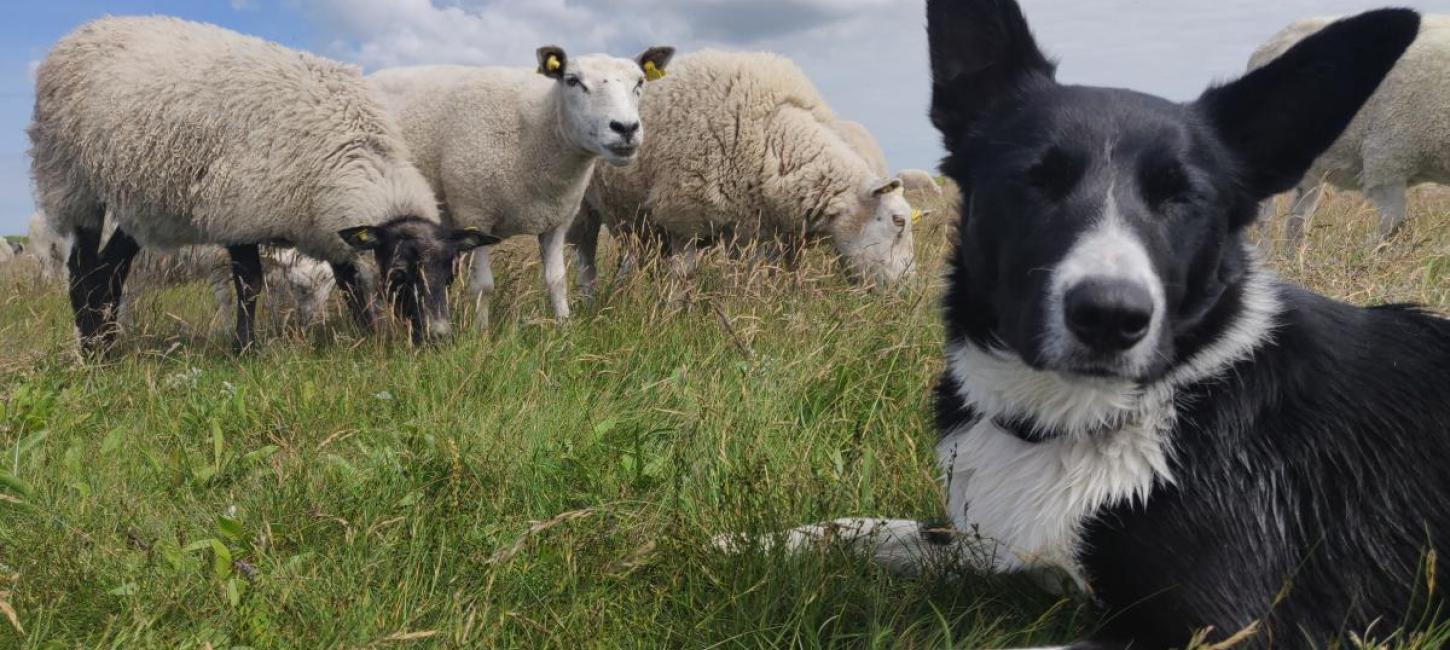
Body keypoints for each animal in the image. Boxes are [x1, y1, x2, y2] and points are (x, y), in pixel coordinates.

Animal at [25, 16, 493, 351]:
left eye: (449, 275)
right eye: (398, 274)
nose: (438, 338)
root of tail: (79, 34)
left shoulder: (324, 221)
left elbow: (349, 281)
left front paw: (368, 335)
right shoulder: (240, 211)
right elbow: (249, 285)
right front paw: (245, 349)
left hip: (141, 204)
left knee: (111, 270)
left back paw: (107, 344)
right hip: (72, 181)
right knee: (82, 269)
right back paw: (91, 350)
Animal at [368, 45, 672, 330]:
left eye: (640, 82)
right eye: (572, 81)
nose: (626, 128)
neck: (536, 131)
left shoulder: (557, 220)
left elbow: (557, 280)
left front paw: (564, 325)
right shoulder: (475, 215)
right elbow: (483, 286)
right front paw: (481, 333)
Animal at [571, 48, 910, 287]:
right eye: (898, 221)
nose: (907, 289)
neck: (774, 141)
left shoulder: (754, 229)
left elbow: (754, 278)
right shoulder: (682, 215)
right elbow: (683, 277)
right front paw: (676, 319)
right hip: (581, 208)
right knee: (585, 262)